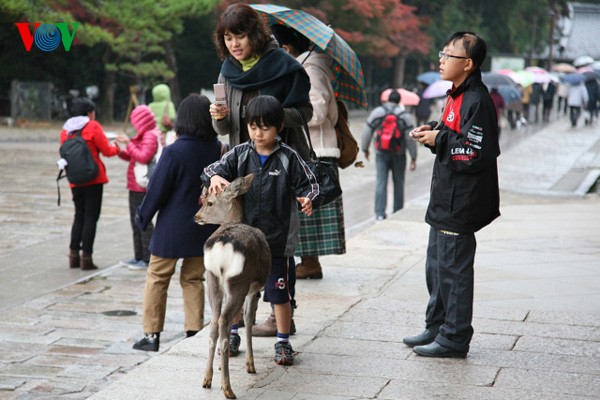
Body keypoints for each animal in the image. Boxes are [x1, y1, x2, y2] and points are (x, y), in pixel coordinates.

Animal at [193, 174, 270, 400]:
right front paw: (250, 366)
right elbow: (248, 320)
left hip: (212, 280)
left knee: (214, 323)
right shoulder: (253, 290)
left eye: (209, 202)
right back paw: (227, 388)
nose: (196, 216)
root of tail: (223, 244)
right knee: (224, 321)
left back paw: (207, 379)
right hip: (239, 281)